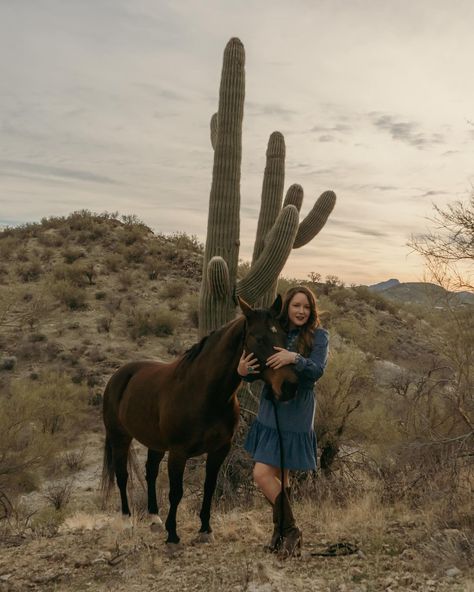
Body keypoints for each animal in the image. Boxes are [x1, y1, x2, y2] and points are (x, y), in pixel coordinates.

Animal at [102, 296, 298, 544]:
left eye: (284, 336)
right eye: (259, 338)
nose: (289, 386)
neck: (205, 393)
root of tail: (119, 375)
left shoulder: (219, 450)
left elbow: (209, 487)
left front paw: (205, 529)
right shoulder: (178, 452)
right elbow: (176, 492)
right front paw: (173, 536)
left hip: (155, 444)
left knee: (150, 472)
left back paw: (154, 519)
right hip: (120, 438)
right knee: (122, 475)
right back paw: (127, 521)